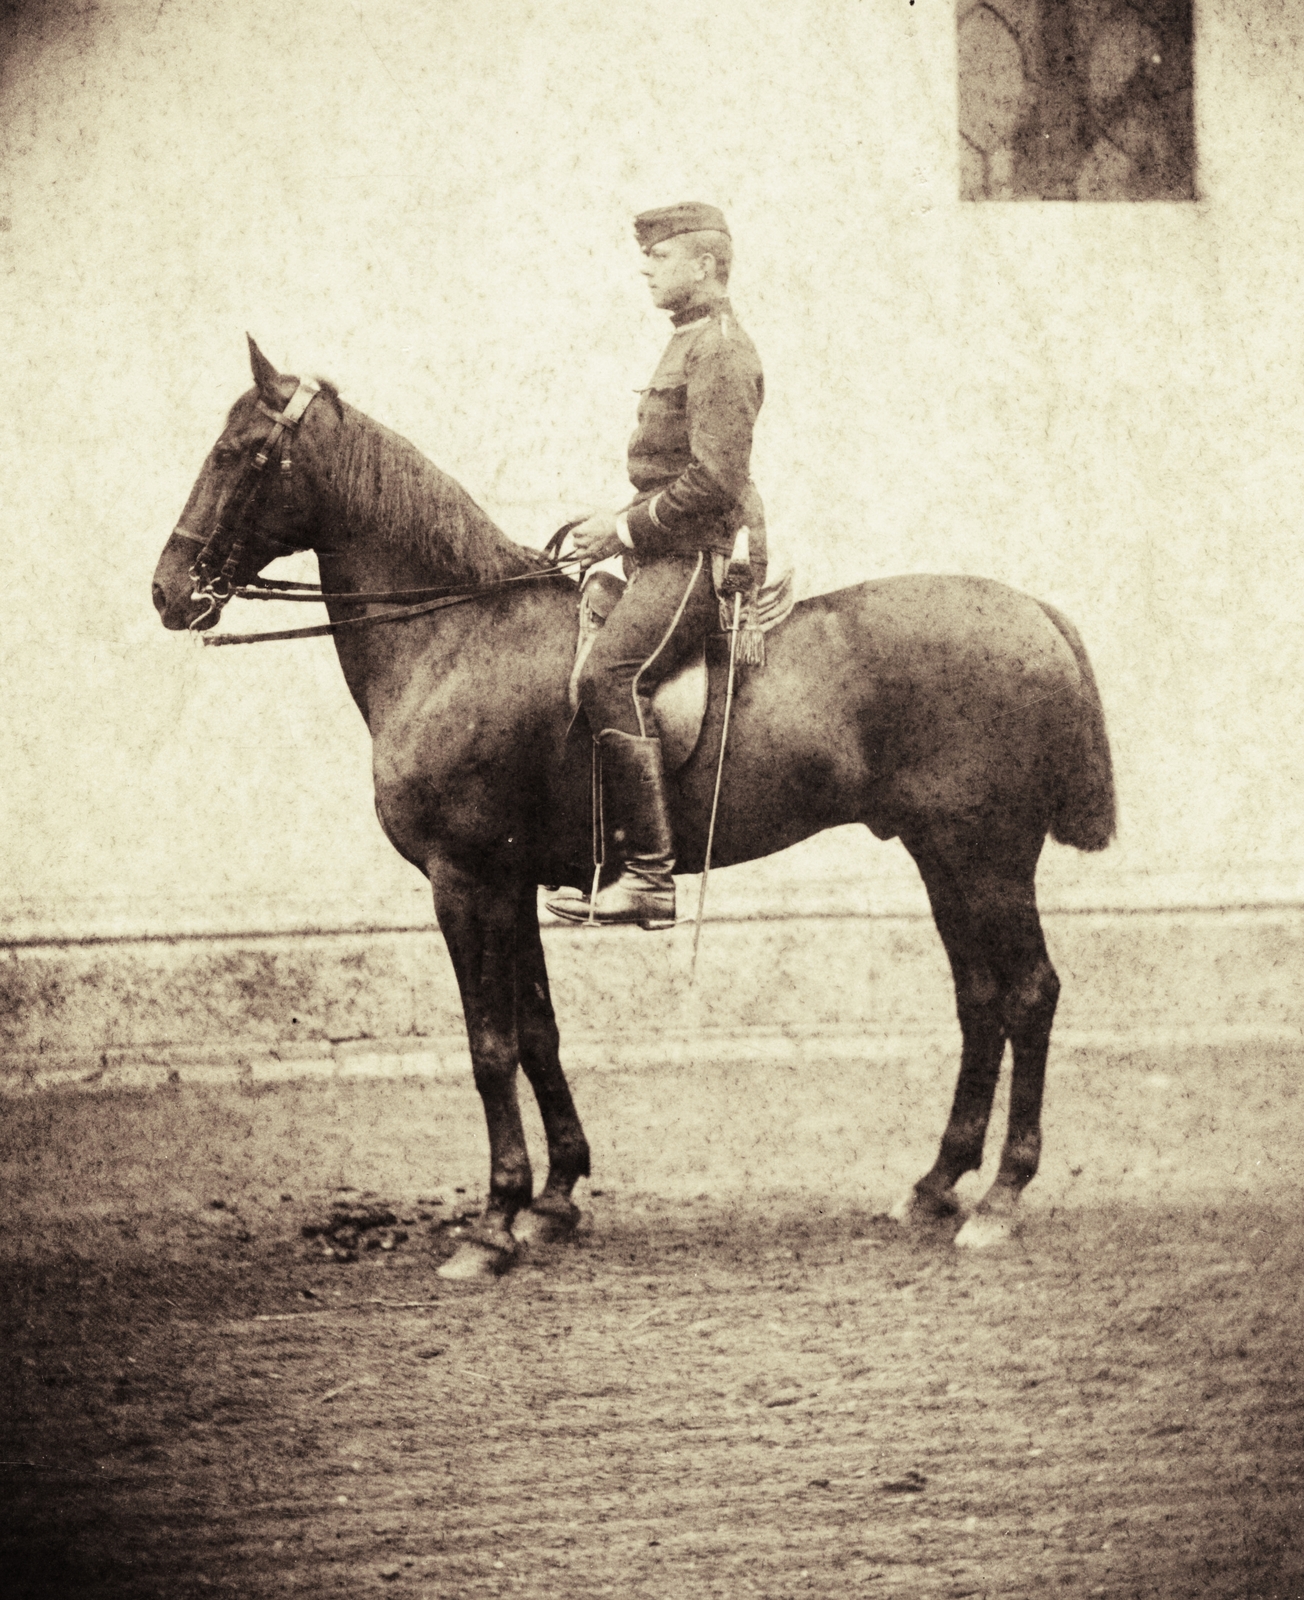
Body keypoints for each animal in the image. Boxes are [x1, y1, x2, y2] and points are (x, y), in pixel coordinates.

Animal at [152, 338, 1116, 1279]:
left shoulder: (463, 880)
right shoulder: (511, 883)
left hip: (989, 856)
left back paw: (999, 1200)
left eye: (239, 452)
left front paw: (492, 1225)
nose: (168, 591)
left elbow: (489, 1045)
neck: (457, 638)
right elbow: (537, 1033)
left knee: (1029, 994)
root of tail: (1033, 611)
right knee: (980, 999)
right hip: (942, 853)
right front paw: (553, 1199)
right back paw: (936, 1184)